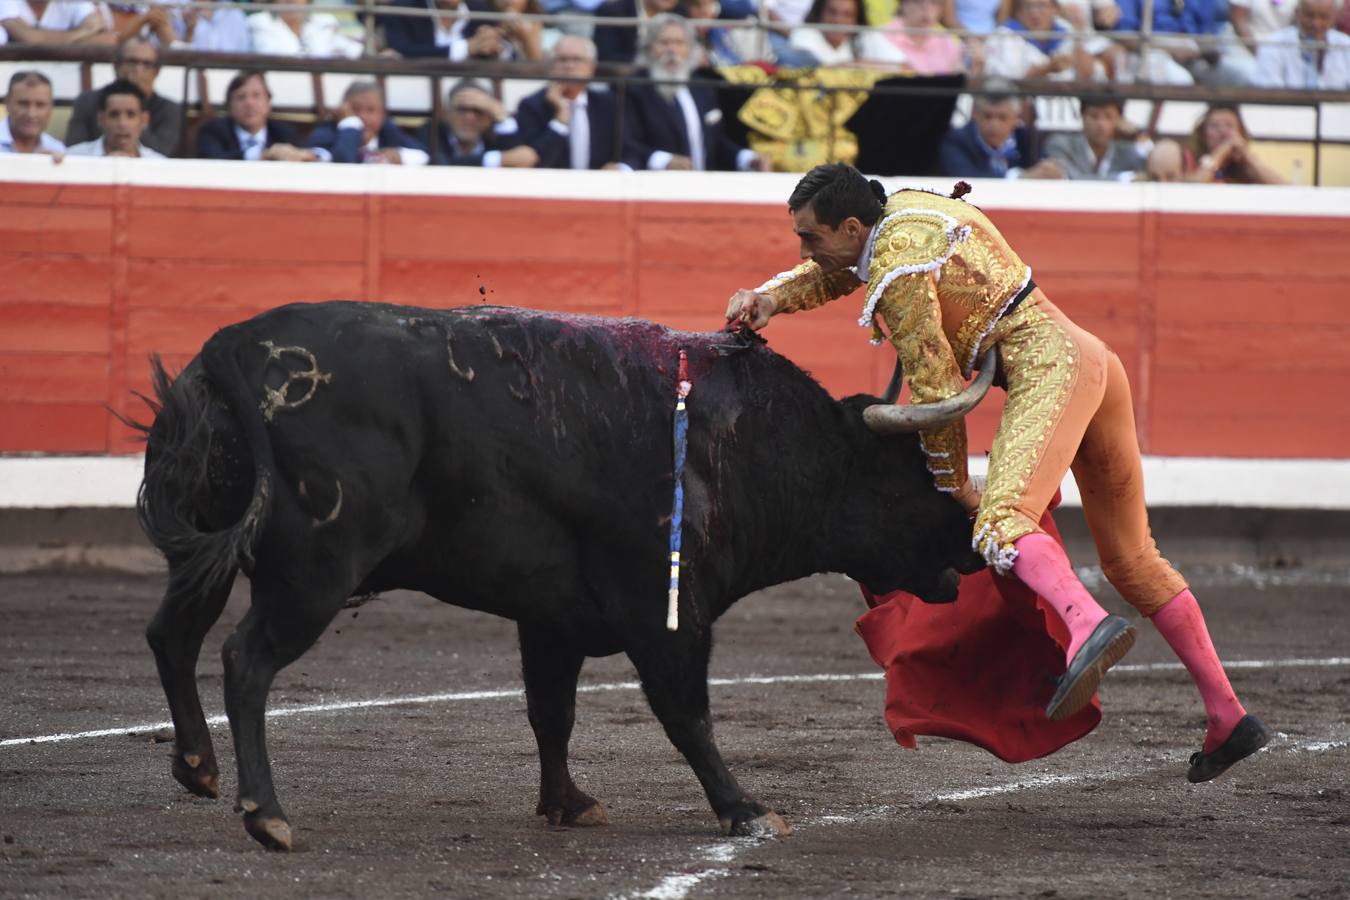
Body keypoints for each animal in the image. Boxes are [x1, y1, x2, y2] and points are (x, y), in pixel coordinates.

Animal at [137, 302, 982, 852]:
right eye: (918, 476)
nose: (975, 549)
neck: (748, 443)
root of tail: (234, 346)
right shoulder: (668, 611)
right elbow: (687, 716)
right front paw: (744, 809)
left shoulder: (552, 618)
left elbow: (553, 712)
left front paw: (568, 803)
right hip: (316, 569)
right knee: (245, 660)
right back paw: (268, 814)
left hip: (207, 548)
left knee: (170, 635)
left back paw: (197, 768)